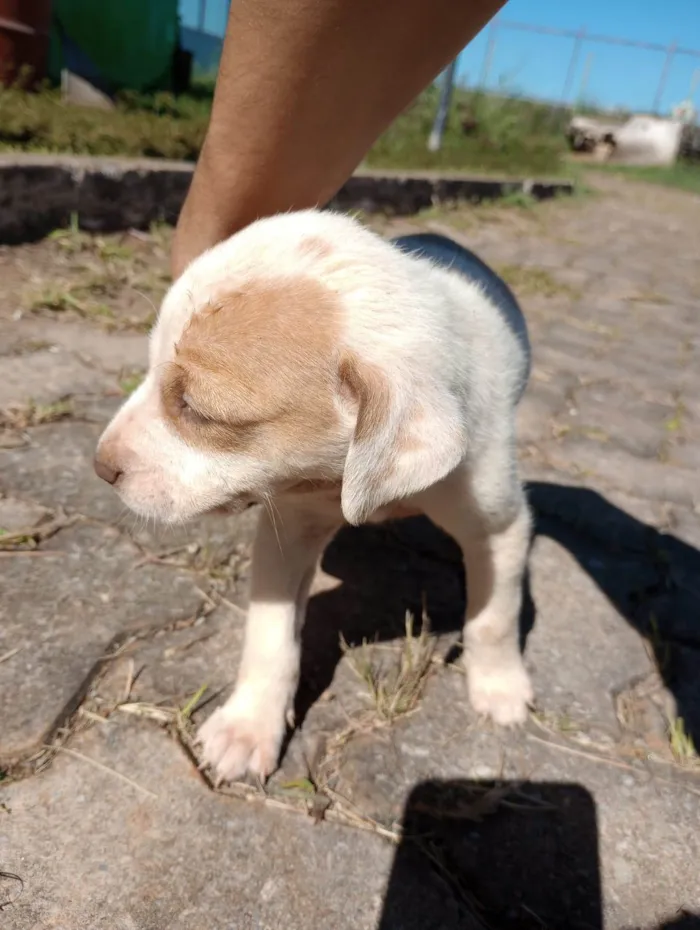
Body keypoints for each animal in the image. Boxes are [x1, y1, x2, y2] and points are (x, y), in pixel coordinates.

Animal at [93, 207, 532, 780]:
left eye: (197, 409)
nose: (100, 466)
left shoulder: (499, 527)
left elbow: (494, 618)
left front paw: (500, 687)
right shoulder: (289, 530)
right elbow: (270, 636)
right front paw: (248, 727)